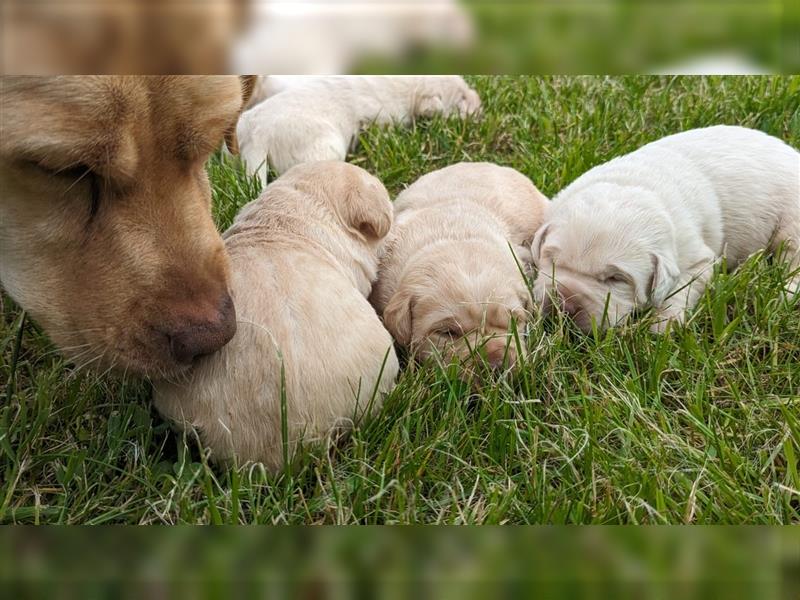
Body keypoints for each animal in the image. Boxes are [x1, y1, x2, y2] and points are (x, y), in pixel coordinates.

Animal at [532, 125, 800, 332]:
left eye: (616, 279)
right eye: (551, 260)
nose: (563, 306)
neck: (632, 185)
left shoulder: (699, 261)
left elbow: (681, 290)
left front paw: (661, 327)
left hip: (793, 222)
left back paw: (784, 296)